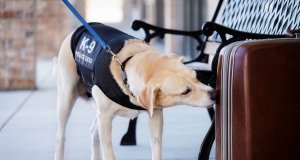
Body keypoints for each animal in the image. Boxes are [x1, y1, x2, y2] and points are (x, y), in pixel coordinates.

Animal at [52, 23, 216, 160]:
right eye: (185, 91)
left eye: (196, 77)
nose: (215, 93)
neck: (127, 66)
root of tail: (78, 29)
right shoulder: (105, 118)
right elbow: (109, 152)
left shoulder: (156, 116)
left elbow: (157, 149)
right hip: (67, 98)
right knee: (60, 136)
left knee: (93, 132)